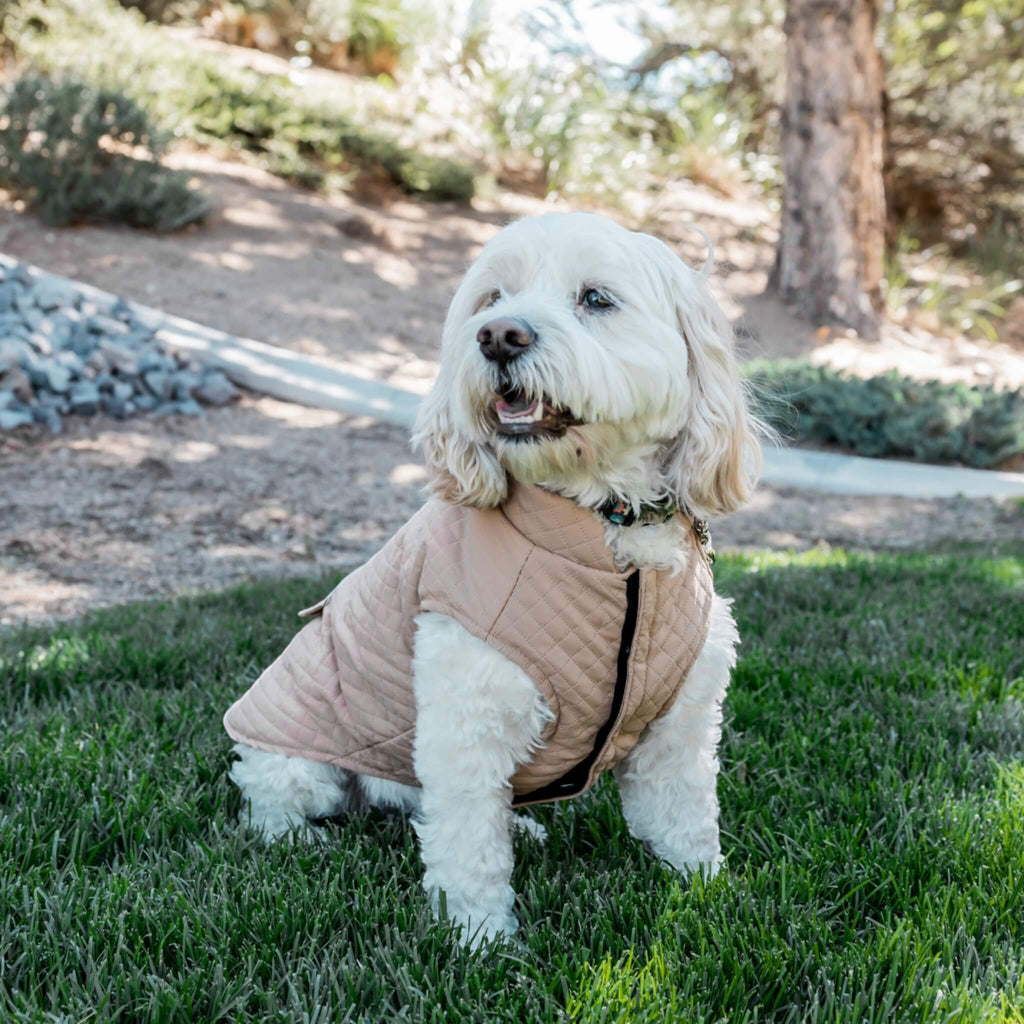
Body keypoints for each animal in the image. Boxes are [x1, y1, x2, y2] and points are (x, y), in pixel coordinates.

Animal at [224, 207, 765, 942]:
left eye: (596, 298)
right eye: (492, 300)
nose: (499, 336)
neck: (608, 530)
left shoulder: (680, 724)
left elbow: (685, 819)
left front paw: (708, 896)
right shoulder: (466, 716)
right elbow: (468, 844)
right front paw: (480, 938)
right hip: (299, 759)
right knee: (272, 805)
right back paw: (303, 839)